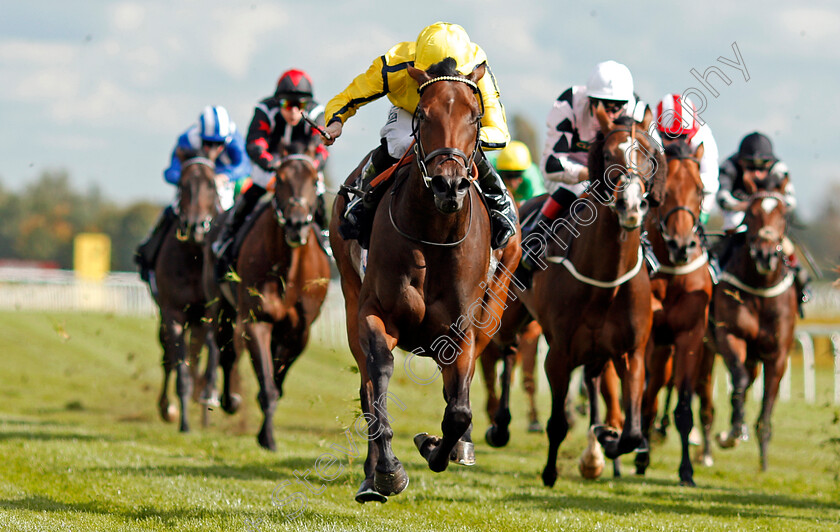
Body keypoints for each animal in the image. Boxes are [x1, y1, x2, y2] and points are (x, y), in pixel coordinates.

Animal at [330, 58, 520, 502]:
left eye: (475, 115)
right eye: (423, 114)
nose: (448, 183)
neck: (435, 233)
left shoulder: (462, 331)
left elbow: (459, 410)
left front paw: (437, 446)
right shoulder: (374, 314)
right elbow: (378, 381)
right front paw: (386, 472)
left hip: (495, 306)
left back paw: (461, 447)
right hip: (348, 297)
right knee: (367, 385)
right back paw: (371, 477)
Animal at [492, 113, 664, 486]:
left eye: (648, 154)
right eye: (610, 154)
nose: (631, 205)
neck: (606, 282)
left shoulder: (632, 352)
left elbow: (632, 431)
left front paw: (608, 440)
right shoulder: (559, 353)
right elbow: (557, 423)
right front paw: (550, 472)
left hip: (598, 351)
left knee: (593, 378)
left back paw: (594, 452)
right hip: (510, 311)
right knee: (507, 350)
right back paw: (499, 426)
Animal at [712, 191, 796, 470]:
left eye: (783, 216)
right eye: (750, 214)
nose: (765, 255)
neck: (760, 289)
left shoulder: (777, 355)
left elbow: (767, 400)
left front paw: (764, 463)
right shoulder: (730, 335)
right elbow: (739, 380)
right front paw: (735, 430)